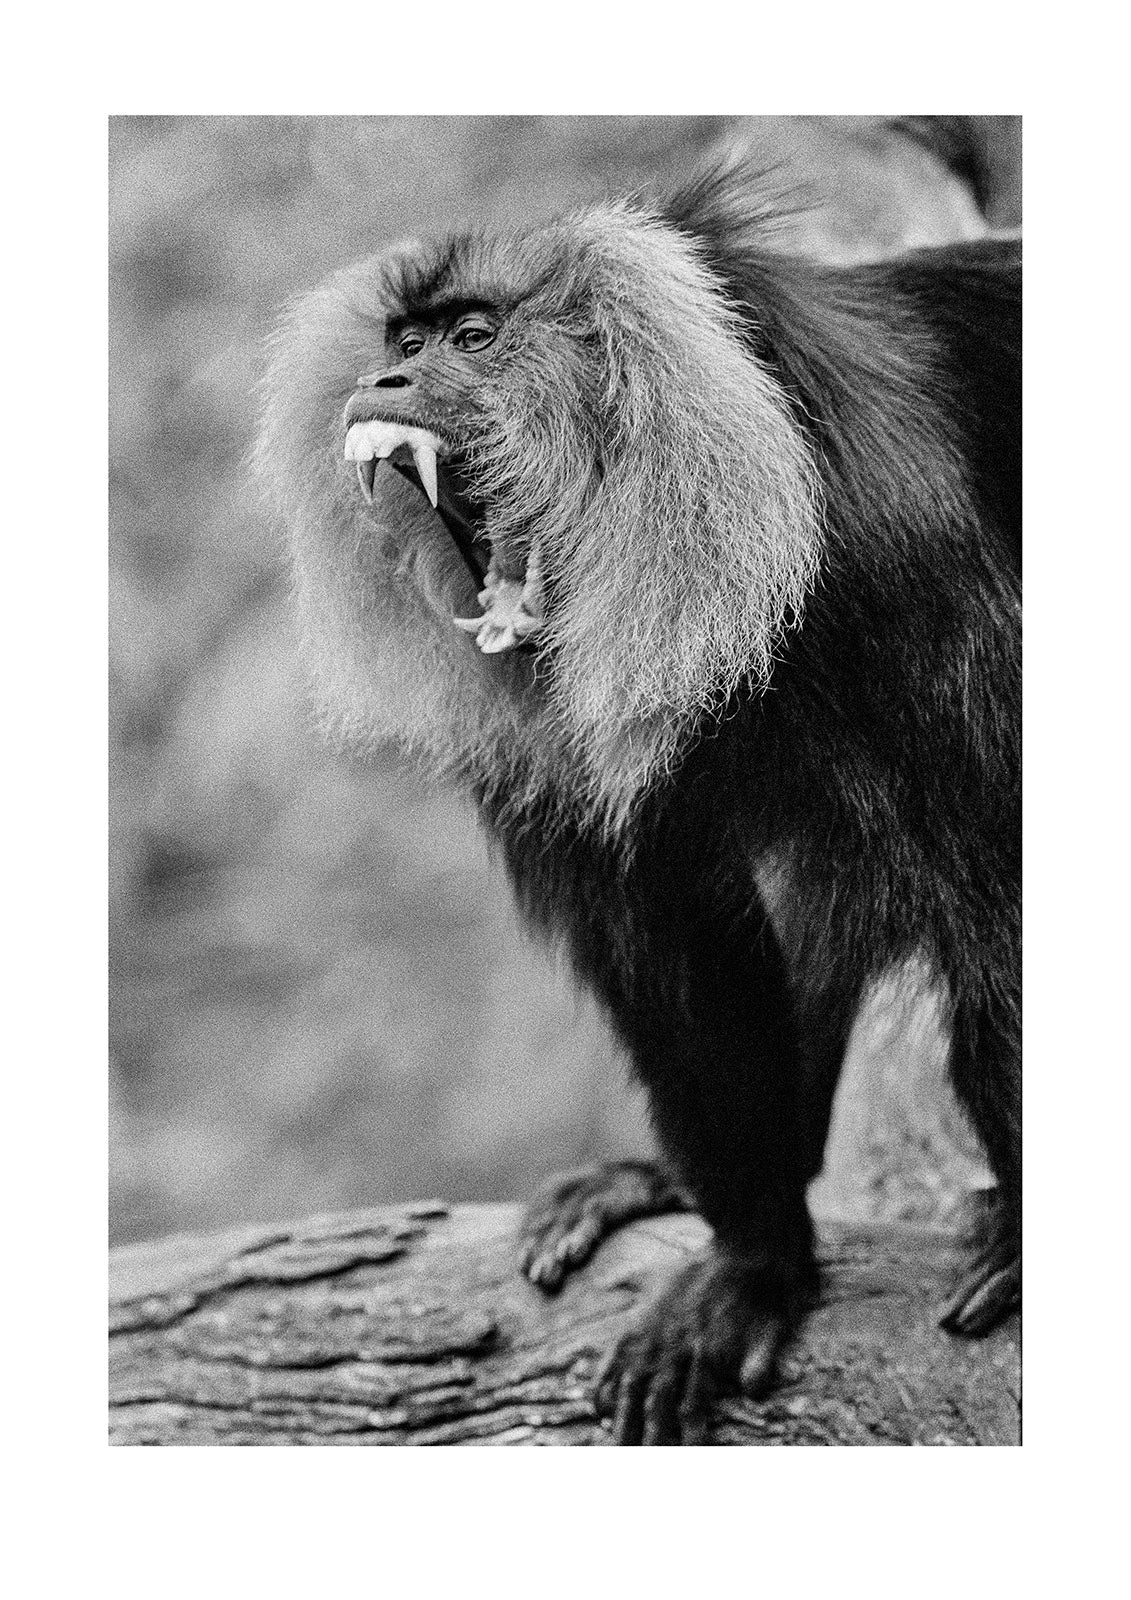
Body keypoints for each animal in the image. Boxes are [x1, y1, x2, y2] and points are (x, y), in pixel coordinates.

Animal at [257, 159, 1020, 1445]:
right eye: (403, 340)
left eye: (473, 337)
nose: (386, 380)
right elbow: (681, 956)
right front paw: (756, 1267)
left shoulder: (903, 558)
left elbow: (1002, 903)